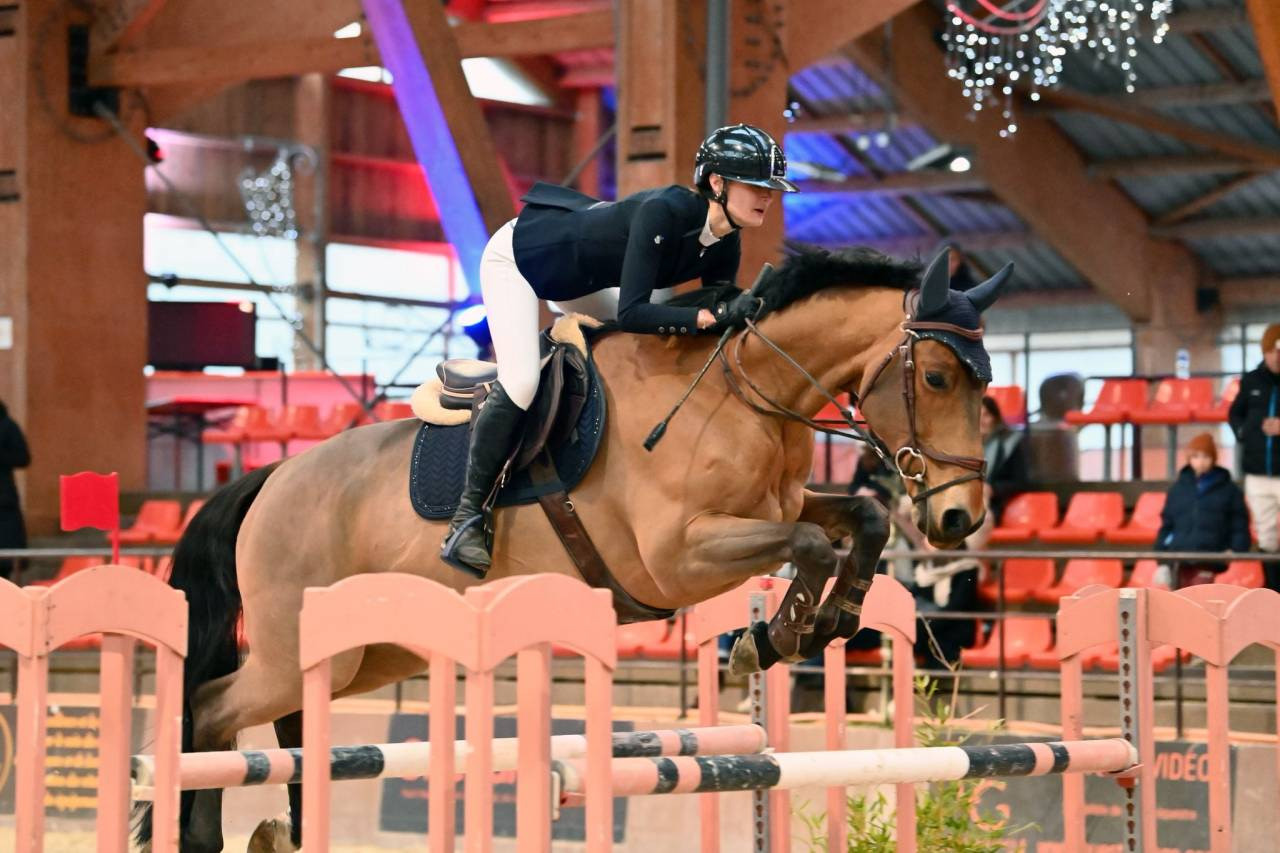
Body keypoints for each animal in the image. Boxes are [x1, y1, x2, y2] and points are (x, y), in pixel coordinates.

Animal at [141, 246, 1010, 850]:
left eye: (985, 380)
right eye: (938, 377)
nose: (958, 518)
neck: (742, 389)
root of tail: (272, 477)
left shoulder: (780, 506)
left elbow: (858, 520)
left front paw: (824, 622)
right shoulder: (676, 557)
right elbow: (811, 546)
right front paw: (774, 636)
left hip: (366, 651)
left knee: (289, 724)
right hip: (295, 649)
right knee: (211, 709)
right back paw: (195, 830)